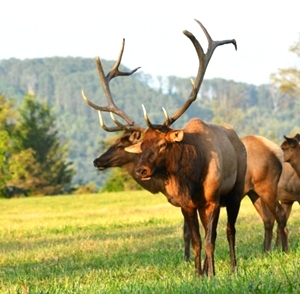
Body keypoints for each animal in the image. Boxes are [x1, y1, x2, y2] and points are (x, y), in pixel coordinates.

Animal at [81, 19, 244, 276]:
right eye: (141, 145)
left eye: (162, 144)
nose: (141, 170)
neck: (192, 178)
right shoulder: (187, 205)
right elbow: (196, 240)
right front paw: (198, 274)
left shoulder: (213, 199)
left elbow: (210, 240)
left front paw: (212, 275)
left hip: (236, 192)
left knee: (229, 231)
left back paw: (233, 268)